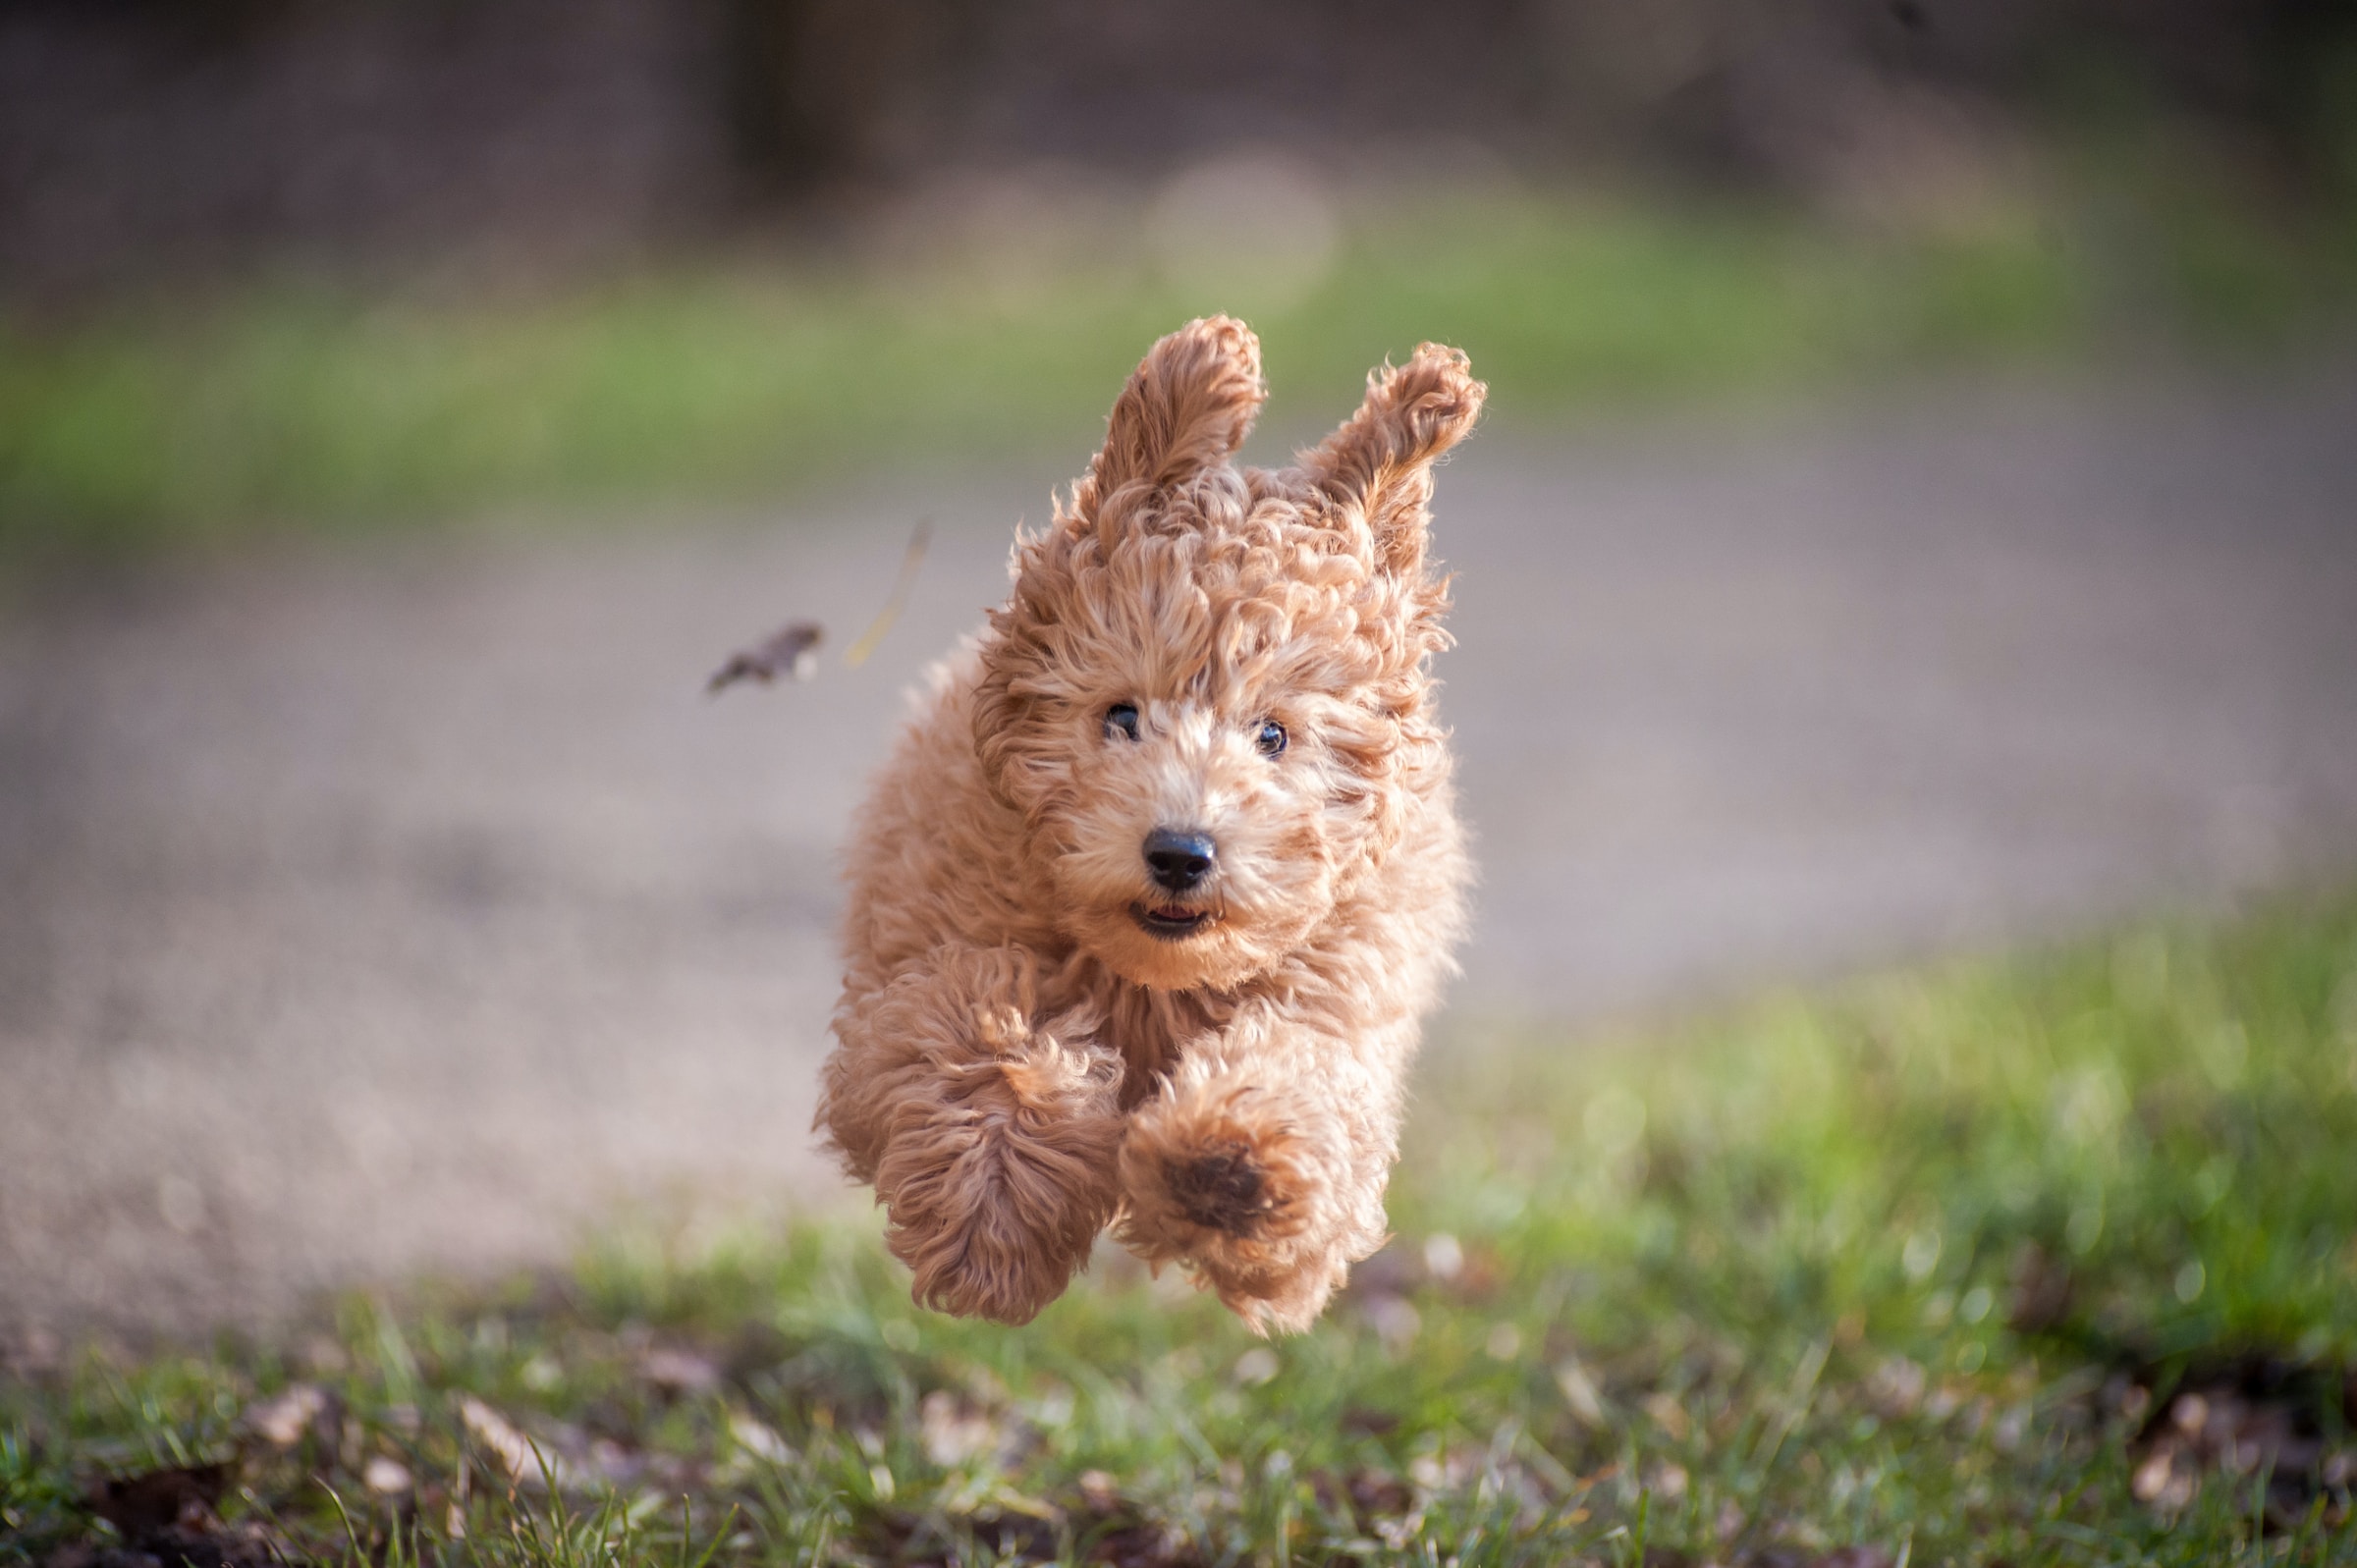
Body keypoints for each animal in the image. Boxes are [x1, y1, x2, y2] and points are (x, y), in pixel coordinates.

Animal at [820, 318, 1480, 1329]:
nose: (1180, 851)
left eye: (1273, 734)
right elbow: (979, 1034)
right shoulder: (928, 960)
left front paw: (1228, 1166)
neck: (1153, 980)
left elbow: (1301, 1073)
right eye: (1121, 715)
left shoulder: (1340, 993)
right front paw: (994, 1224)